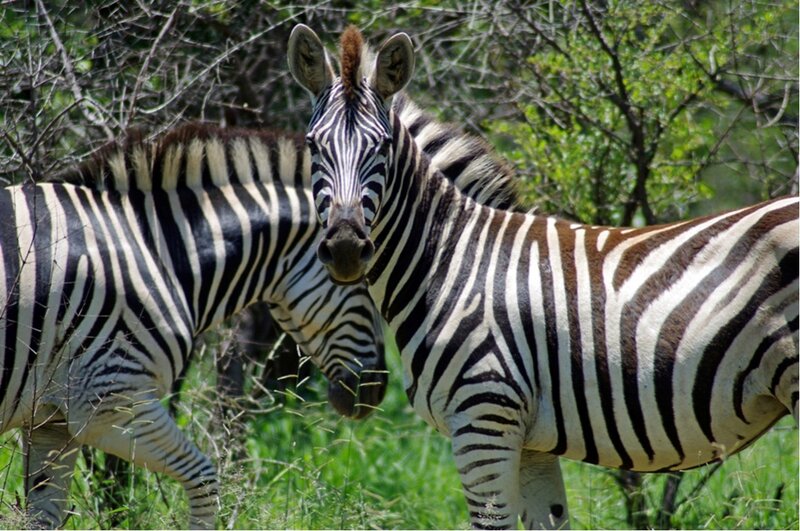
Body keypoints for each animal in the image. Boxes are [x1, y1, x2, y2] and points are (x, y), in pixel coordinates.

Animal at [0, 124, 389, 528]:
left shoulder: (51, 422)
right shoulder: (110, 401)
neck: (157, 253)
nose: (376, 390)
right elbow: (205, 478)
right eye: (363, 283)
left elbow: (42, 517)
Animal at [288, 24, 799, 529]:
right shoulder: (530, 442)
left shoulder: (483, 420)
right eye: (313, 145)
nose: (346, 247)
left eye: (382, 147)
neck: (451, 262)